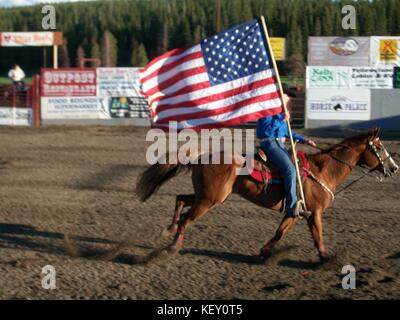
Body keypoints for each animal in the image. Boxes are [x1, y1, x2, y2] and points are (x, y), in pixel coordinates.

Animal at [136, 129, 398, 264]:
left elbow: (280, 231)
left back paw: (169, 230)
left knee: (180, 198)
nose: (394, 167)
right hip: (209, 200)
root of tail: (203, 156)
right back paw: (171, 247)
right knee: (186, 219)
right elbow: (318, 236)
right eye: (379, 147)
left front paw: (264, 252)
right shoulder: (315, 212)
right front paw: (326, 259)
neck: (323, 170)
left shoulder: (296, 211)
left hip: (207, 196)